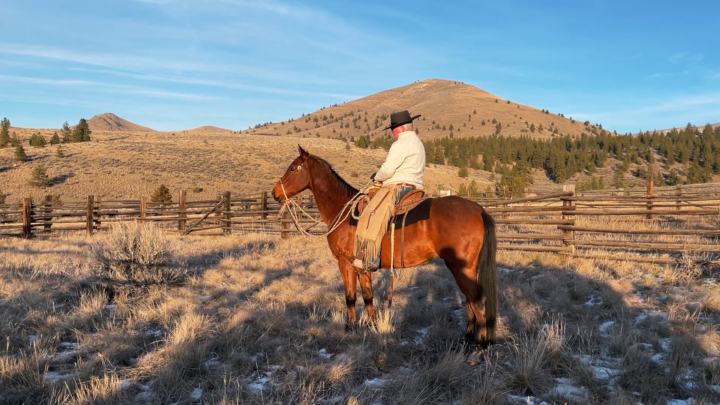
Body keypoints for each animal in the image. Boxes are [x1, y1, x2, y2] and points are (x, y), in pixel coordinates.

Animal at [272, 146, 498, 347]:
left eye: (292, 168)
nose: (275, 193)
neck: (341, 209)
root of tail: (478, 209)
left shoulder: (345, 263)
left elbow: (350, 297)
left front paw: (350, 328)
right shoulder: (362, 267)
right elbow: (368, 296)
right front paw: (372, 326)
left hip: (460, 268)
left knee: (477, 301)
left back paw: (480, 347)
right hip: (468, 269)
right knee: (469, 300)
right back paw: (467, 339)